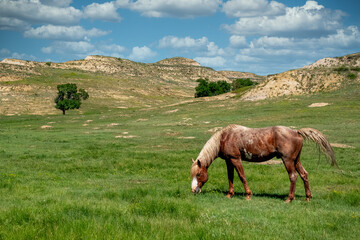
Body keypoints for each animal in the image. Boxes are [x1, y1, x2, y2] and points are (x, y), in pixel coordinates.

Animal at [191, 124, 338, 202]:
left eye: (198, 174)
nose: (193, 190)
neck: (225, 137)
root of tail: (296, 131)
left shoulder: (235, 159)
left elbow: (242, 176)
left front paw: (248, 195)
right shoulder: (229, 161)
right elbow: (230, 177)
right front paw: (229, 194)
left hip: (288, 160)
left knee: (293, 176)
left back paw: (289, 199)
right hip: (296, 160)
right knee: (304, 175)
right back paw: (308, 197)